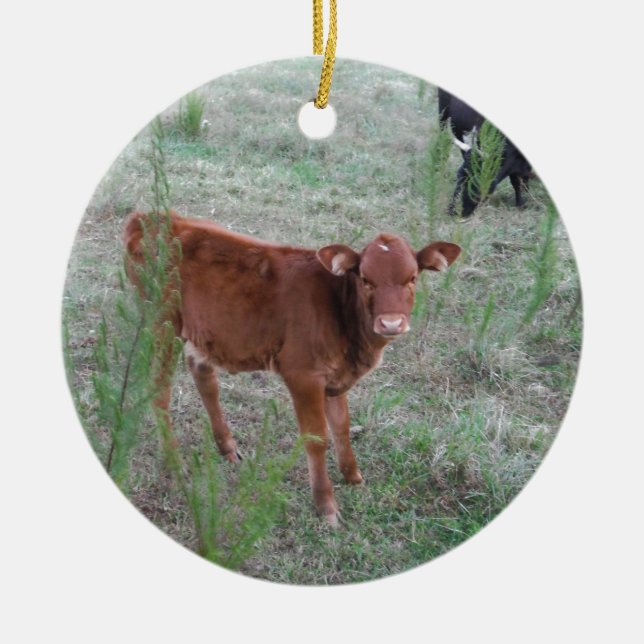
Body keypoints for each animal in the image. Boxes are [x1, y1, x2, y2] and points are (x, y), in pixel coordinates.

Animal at [124, 210, 461, 525]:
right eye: (366, 279)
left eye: (412, 278)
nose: (391, 323)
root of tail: (149, 217)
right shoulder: (302, 374)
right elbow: (317, 437)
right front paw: (326, 506)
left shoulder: (336, 375)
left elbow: (342, 426)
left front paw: (353, 477)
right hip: (163, 324)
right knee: (159, 390)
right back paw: (173, 463)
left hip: (202, 331)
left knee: (204, 376)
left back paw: (227, 447)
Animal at [438, 88, 533, 217]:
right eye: (458, 176)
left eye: (476, 181)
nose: (453, 210)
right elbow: (515, 180)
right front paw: (521, 203)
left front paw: (522, 201)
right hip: (444, 114)